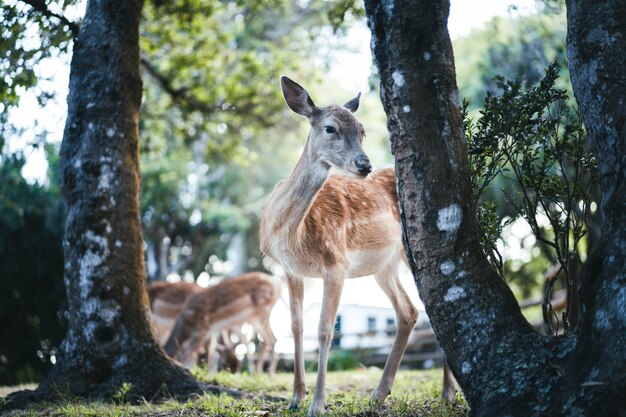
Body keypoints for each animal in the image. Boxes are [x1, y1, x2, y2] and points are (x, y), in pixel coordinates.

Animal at [258, 76, 454, 414]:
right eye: (330, 128)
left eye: (363, 131)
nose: (364, 164)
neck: (289, 233)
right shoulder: (290, 270)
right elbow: (296, 327)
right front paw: (296, 397)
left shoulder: (336, 262)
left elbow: (325, 330)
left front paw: (318, 404)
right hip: (384, 265)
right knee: (408, 311)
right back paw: (380, 392)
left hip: (410, 248)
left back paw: (448, 392)